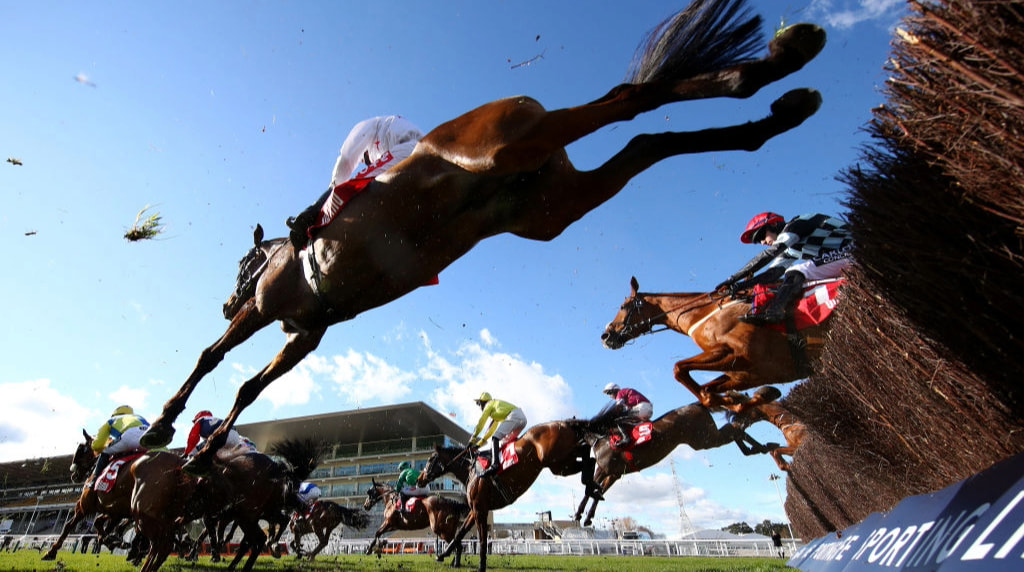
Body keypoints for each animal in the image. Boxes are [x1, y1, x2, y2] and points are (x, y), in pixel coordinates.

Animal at [573, 401, 765, 528]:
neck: (601, 438)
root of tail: (697, 404)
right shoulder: (613, 474)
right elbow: (598, 493)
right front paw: (587, 517)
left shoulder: (604, 469)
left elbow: (590, 490)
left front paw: (578, 514)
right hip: (704, 438)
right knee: (734, 429)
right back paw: (758, 447)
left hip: (704, 438)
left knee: (734, 429)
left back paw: (759, 446)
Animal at [598, 276, 831, 407]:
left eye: (623, 306)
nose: (606, 336)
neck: (704, 314)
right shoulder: (750, 373)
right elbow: (709, 388)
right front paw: (735, 400)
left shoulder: (739, 355)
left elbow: (678, 369)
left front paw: (722, 401)